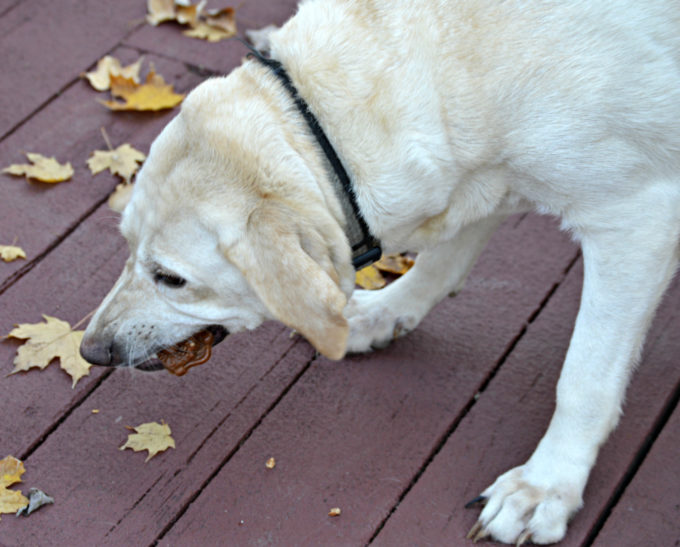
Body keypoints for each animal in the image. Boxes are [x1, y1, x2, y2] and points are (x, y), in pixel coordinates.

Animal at [82, 1, 680, 544]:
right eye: (126, 245)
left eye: (171, 278)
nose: (91, 352)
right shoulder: (483, 174)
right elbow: (442, 261)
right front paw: (380, 315)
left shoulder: (635, 217)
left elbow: (584, 380)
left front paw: (545, 486)